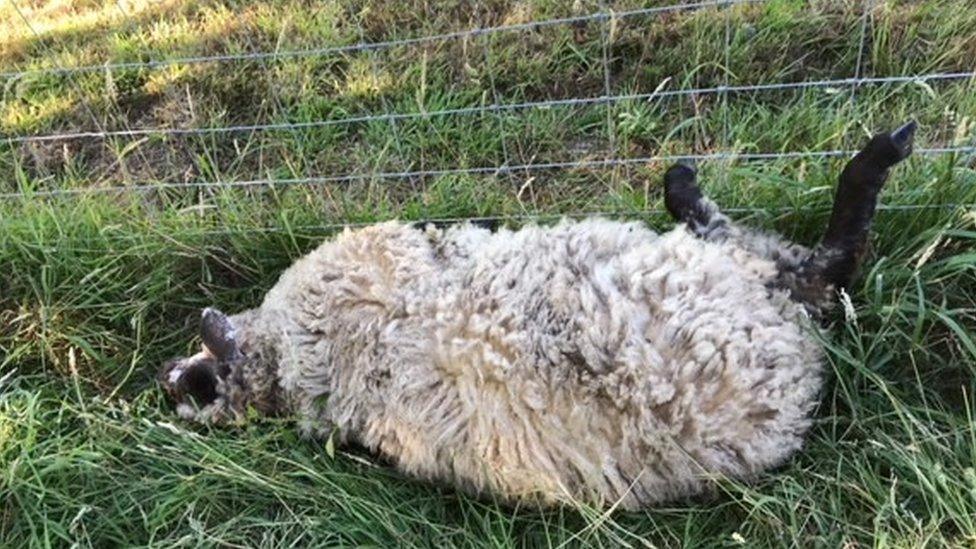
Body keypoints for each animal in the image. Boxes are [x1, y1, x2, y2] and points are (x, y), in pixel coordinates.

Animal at [158, 122, 916, 508]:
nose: (172, 374)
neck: (298, 364)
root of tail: (800, 373)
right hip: (737, 283)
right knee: (818, 267)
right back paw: (870, 157)